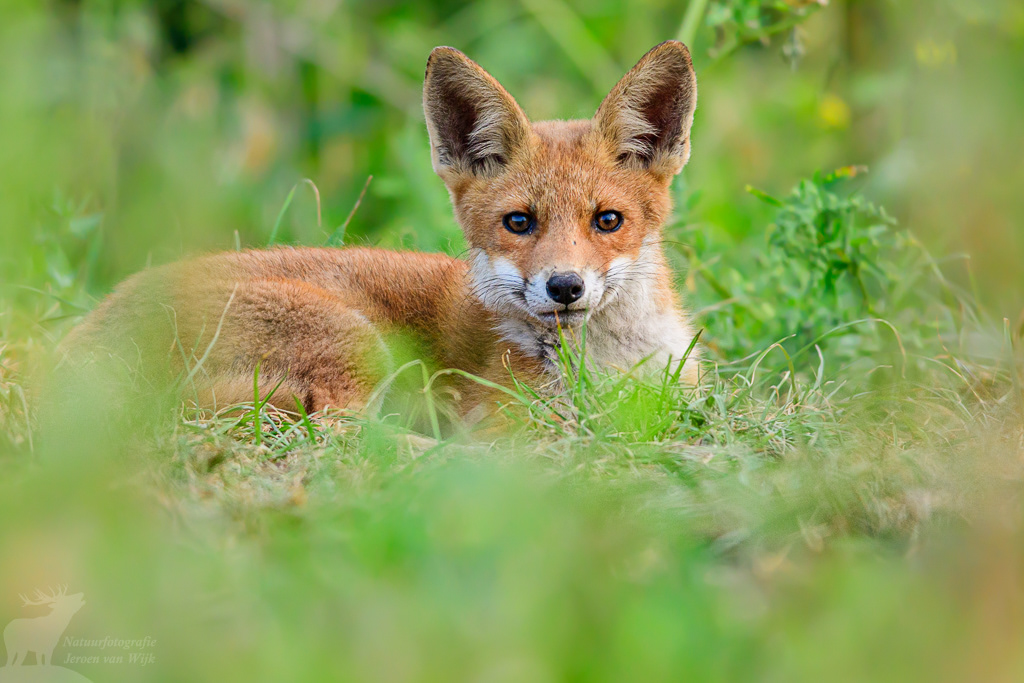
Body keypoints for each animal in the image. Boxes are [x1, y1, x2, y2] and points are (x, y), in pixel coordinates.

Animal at [62, 41, 701, 423]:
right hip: (354, 342)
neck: (611, 368)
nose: (565, 287)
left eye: (607, 220)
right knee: (347, 438)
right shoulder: (510, 416)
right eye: (519, 222)